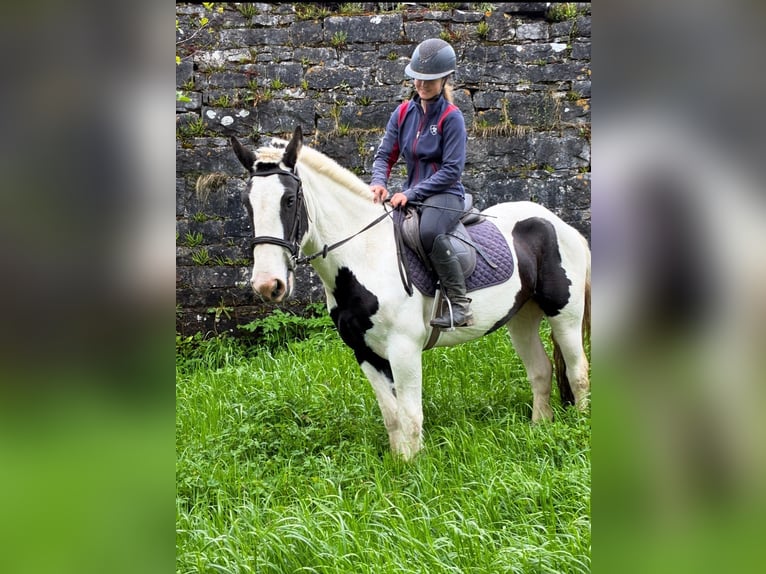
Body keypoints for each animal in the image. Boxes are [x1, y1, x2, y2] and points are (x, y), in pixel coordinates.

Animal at [230, 126, 591, 460]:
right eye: (247, 203)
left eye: (289, 200)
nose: (267, 284)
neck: (366, 256)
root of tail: (559, 224)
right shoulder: (365, 352)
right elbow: (392, 416)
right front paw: (399, 464)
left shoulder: (404, 349)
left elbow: (411, 415)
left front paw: (415, 469)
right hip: (522, 318)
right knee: (541, 371)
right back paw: (539, 428)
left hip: (566, 317)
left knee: (578, 372)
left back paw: (579, 429)